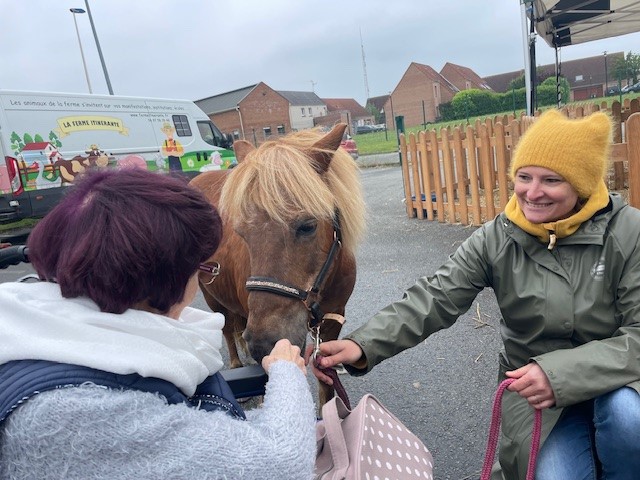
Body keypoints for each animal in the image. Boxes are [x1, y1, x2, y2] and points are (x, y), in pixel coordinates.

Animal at [189, 124, 364, 404]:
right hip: (212, 296)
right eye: (241, 232)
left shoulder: (333, 320)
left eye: (308, 226)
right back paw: (237, 364)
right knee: (227, 329)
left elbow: (325, 384)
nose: (264, 343)